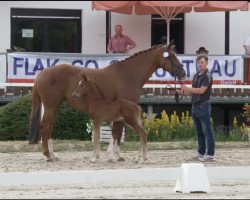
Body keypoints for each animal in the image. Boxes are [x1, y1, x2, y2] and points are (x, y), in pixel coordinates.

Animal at [28, 40, 186, 161]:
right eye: (172, 56)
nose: (183, 73)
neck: (128, 75)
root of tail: (42, 73)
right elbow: (117, 132)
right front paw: (114, 155)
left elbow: (116, 132)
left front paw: (114, 154)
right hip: (50, 106)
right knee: (45, 127)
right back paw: (48, 156)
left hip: (54, 107)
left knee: (49, 128)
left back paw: (53, 155)